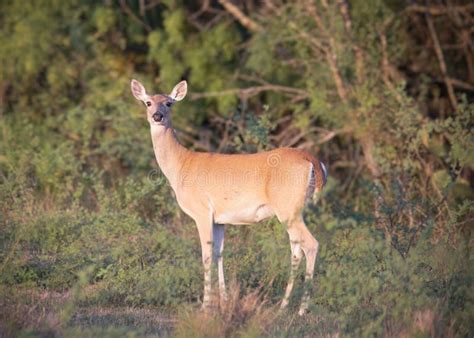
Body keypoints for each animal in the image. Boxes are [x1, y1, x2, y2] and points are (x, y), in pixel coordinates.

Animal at [131, 78, 330, 314]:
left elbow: (206, 255)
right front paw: (224, 300)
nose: (157, 116)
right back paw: (283, 306)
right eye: (148, 102)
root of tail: (313, 161)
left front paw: (206, 305)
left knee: (311, 244)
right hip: (296, 209)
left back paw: (301, 310)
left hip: (287, 207)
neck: (181, 165)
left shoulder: (202, 211)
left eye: (169, 103)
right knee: (296, 249)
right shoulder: (220, 219)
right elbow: (219, 254)